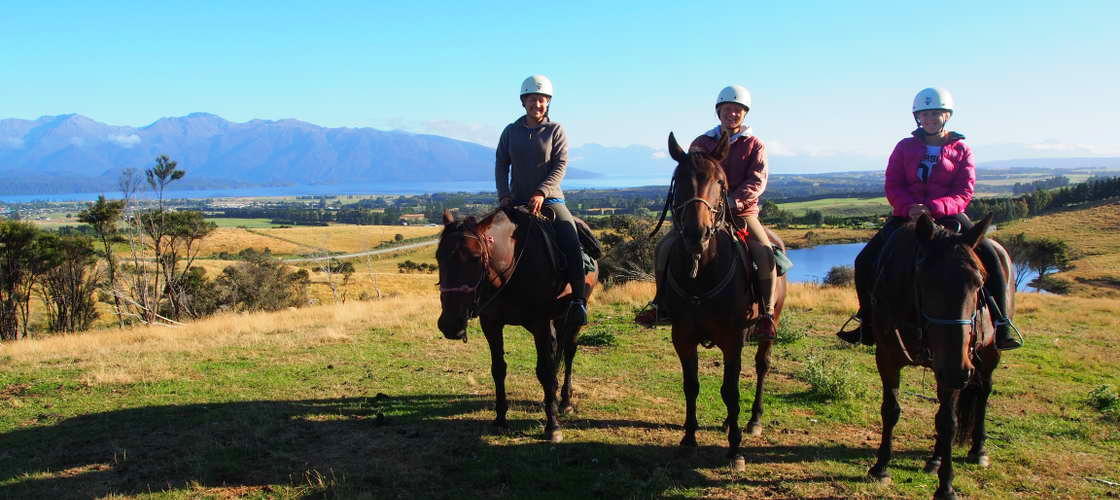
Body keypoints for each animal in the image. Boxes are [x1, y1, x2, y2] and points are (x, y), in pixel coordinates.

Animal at [432, 207, 600, 441]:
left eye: (475, 258)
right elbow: (498, 369)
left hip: (572, 318)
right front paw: (500, 419)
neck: (512, 268)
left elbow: (544, 371)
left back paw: (565, 401)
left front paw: (552, 426)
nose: (449, 323)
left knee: (569, 351)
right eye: (439, 257)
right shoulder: (491, 324)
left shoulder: (540, 324)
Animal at [654, 131, 788, 468]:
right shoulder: (682, 336)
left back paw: (752, 422)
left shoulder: (732, 339)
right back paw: (730, 422)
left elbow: (731, 390)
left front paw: (735, 449)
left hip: (769, 324)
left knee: (762, 366)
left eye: (720, 182)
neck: (702, 271)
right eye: (679, 180)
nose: (696, 233)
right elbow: (691, 386)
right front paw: (689, 439)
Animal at [860, 214, 1012, 500]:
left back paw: (977, 450)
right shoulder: (886, 357)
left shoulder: (954, 364)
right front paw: (881, 468)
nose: (958, 372)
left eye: (979, 283)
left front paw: (946, 487)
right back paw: (935, 459)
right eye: (924, 282)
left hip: (987, 353)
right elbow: (891, 410)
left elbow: (948, 422)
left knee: (982, 393)